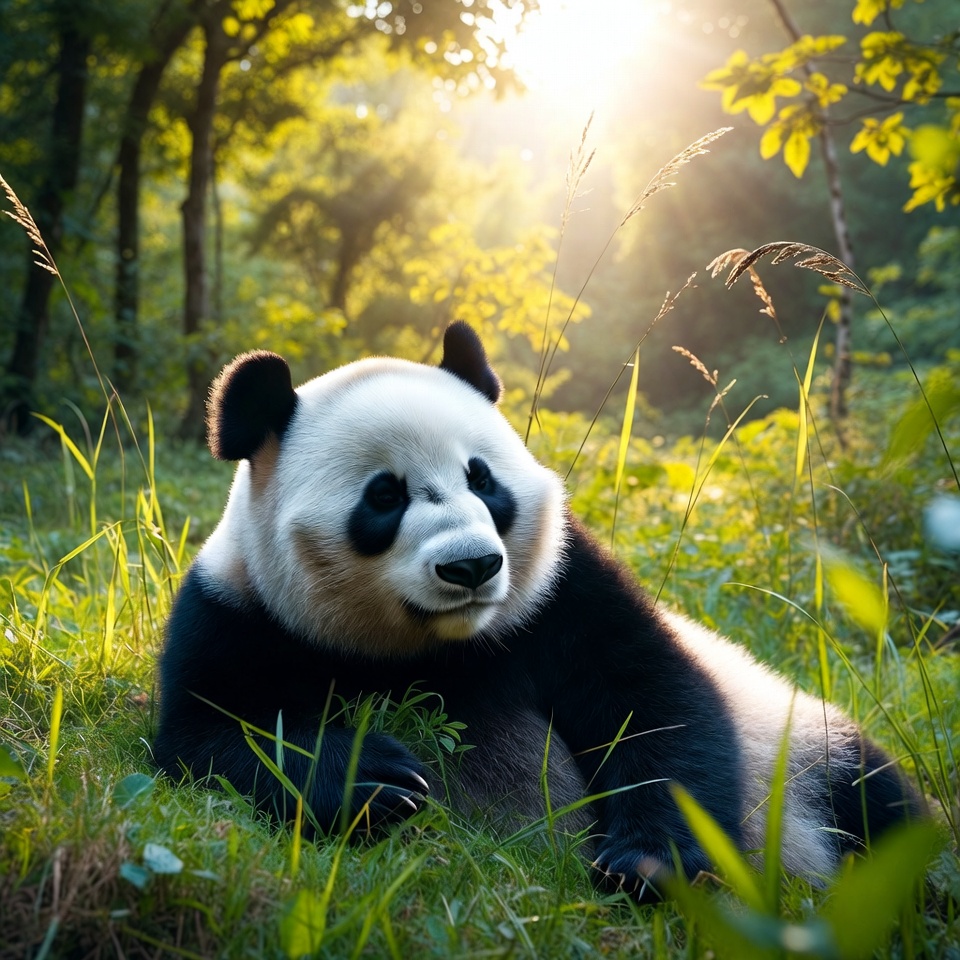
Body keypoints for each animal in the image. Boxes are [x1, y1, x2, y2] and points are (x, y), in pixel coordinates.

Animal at [154, 321, 921, 897]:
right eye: (384, 495)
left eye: (482, 478)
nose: (471, 566)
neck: (432, 644)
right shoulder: (238, 614)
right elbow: (215, 733)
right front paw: (377, 779)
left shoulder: (563, 595)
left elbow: (655, 703)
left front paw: (646, 864)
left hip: (807, 749)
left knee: (878, 806)